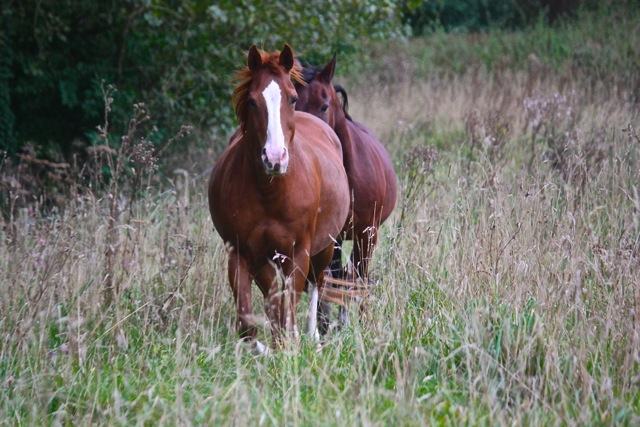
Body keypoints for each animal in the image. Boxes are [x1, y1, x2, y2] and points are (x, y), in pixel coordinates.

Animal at [209, 44, 350, 352]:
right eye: (252, 101)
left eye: (293, 98)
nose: (274, 158)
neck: (270, 192)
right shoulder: (239, 255)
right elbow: (248, 324)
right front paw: (266, 349)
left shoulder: (297, 254)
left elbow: (289, 310)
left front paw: (289, 346)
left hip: (324, 249)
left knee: (316, 285)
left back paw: (313, 336)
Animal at [294, 55, 396, 332]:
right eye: (293, 102)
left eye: (324, 105)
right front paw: (325, 324)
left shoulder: (368, 234)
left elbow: (360, 276)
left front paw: (363, 321)